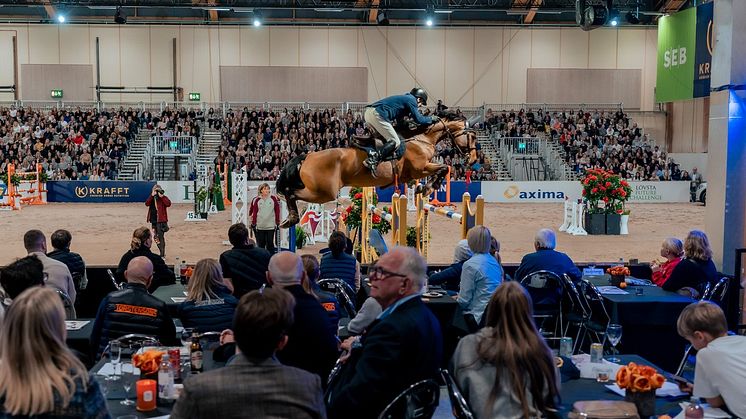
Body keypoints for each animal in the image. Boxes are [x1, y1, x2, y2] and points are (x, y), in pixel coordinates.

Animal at [276, 113, 480, 228]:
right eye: (471, 136)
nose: (473, 159)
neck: (421, 139)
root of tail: (308, 156)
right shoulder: (419, 169)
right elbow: (445, 167)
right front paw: (428, 188)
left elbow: (444, 168)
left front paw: (425, 188)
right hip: (324, 192)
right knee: (291, 192)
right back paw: (291, 217)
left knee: (291, 193)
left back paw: (290, 218)